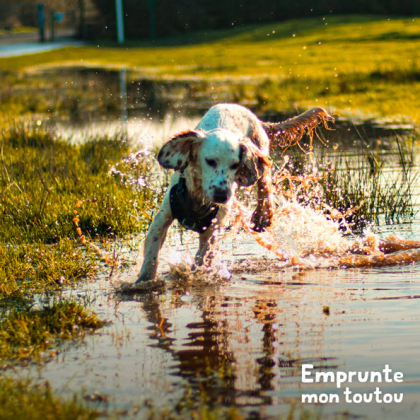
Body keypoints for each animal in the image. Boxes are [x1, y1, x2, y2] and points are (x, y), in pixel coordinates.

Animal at [136, 103, 334, 284]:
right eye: (210, 161)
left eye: (234, 165)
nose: (222, 195)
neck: (199, 196)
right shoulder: (164, 214)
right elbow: (153, 246)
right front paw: (144, 279)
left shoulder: (214, 226)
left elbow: (202, 257)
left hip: (261, 153)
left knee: (264, 185)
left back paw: (262, 216)